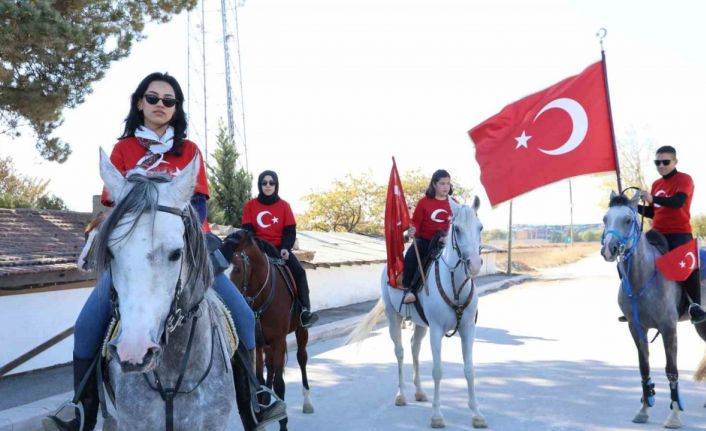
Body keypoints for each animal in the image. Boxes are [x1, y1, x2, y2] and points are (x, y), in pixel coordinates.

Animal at [226, 230, 314, 431]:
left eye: (237, 269)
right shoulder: (258, 342)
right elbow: (259, 377)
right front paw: (262, 407)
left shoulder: (279, 340)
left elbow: (280, 383)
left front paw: (283, 424)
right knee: (271, 366)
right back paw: (266, 399)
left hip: (301, 331)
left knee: (301, 359)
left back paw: (307, 402)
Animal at [346, 198, 484, 428]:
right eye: (456, 228)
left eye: (480, 227)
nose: (474, 264)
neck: (454, 285)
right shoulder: (436, 330)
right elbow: (437, 371)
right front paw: (437, 416)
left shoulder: (468, 329)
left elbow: (469, 369)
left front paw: (477, 414)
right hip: (394, 318)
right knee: (400, 352)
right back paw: (401, 395)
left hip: (420, 323)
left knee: (414, 348)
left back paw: (419, 392)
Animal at [600, 192, 704, 428]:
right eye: (605, 219)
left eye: (628, 220)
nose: (608, 249)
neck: (644, 275)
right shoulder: (636, 328)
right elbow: (644, 367)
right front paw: (644, 409)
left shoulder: (668, 328)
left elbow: (672, 370)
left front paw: (674, 415)